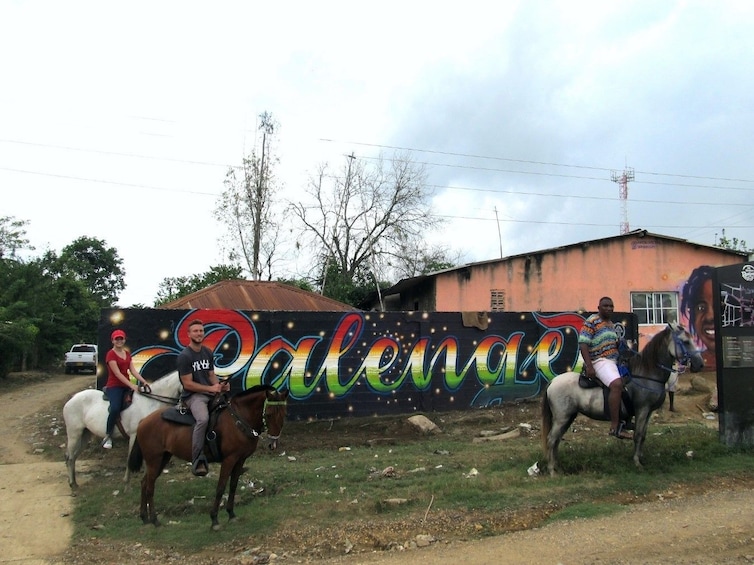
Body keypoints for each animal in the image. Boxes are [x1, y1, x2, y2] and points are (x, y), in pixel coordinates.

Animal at [126, 384, 288, 528]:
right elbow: (221, 487)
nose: (273, 444)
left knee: (144, 483)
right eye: (269, 414)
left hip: (162, 458)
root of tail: (143, 421)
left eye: (283, 414)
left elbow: (233, 486)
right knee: (150, 487)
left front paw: (231, 514)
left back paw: (145, 518)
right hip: (154, 459)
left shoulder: (240, 460)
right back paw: (154, 520)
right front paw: (214, 519)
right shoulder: (229, 459)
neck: (238, 419)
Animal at [536, 322, 704, 476]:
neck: (646, 375)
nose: (700, 364)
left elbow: (643, 435)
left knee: (557, 440)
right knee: (551, 439)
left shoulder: (649, 412)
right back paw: (552, 471)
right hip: (562, 417)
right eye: (685, 342)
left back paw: (557, 467)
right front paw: (637, 462)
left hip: (568, 417)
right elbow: (638, 435)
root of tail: (553, 382)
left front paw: (641, 458)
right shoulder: (642, 410)